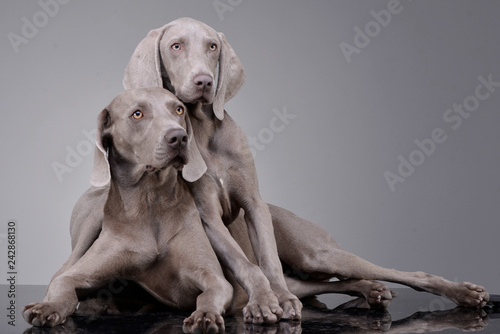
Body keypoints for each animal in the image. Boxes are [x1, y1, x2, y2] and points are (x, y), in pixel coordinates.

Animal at [22, 88, 233, 334]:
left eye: (179, 109)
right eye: (137, 114)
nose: (179, 137)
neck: (149, 202)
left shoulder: (212, 276)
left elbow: (212, 292)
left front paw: (206, 315)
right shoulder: (79, 272)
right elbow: (63, 283)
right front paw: (48, 307)